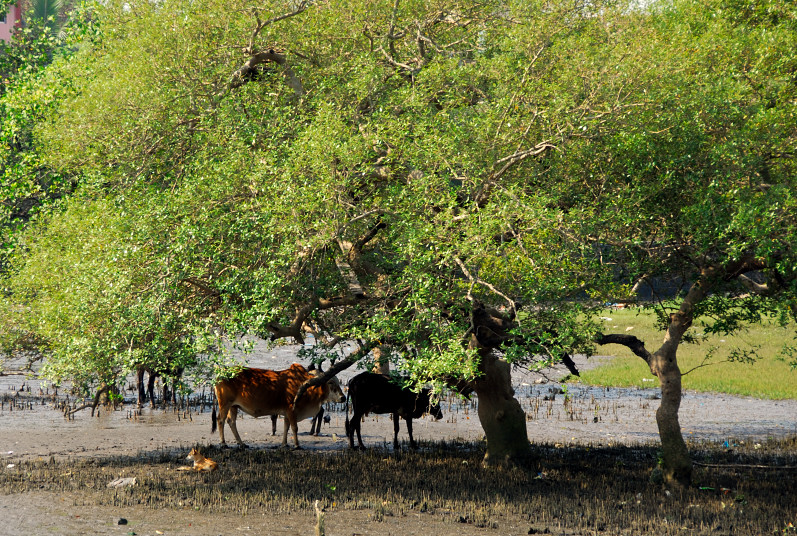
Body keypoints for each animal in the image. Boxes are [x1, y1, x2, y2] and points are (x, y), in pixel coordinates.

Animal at [210, 364, 344, 448]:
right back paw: (223, 443)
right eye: (330, 382)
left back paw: (241, 444)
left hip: (233, 406)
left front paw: (284, 444)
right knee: (220, 420)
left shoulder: (287, 412)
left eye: (338, 382)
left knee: (231, 422)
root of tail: (220, 373)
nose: (343, 397)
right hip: (225, 404)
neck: (307, 386)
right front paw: (297, 445)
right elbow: (294, 428)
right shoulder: (292, 410)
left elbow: (286, 427)